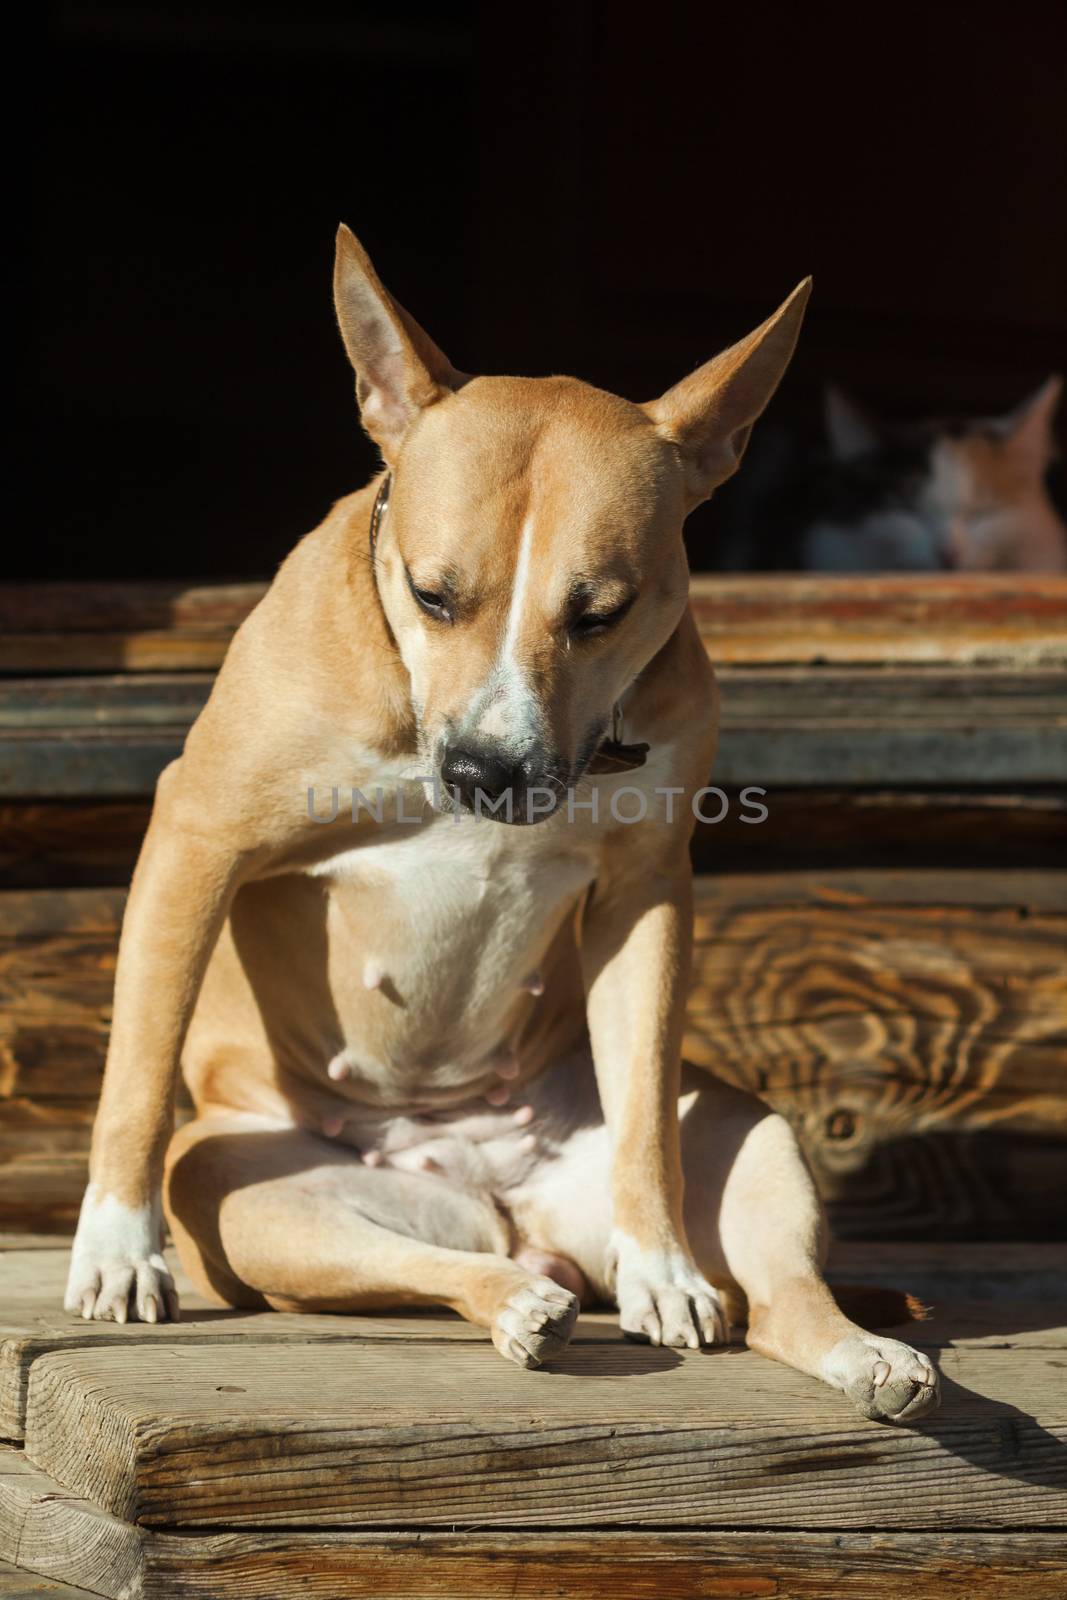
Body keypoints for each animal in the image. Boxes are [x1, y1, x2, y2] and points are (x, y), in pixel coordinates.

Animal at [64, 228, 934, 1427]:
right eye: (432, 596)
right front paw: (115, 1250)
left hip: (746, 1130)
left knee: (770, 1292)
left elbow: (646, 1115)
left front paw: (664, 1265)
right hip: (246, 1187)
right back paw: (519, 1304)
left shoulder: (646, 893)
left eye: (601, 612)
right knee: (442, 1265)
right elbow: (139, 1069)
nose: (484, 768)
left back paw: (852, 1351)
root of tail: (511, 1207)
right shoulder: (198, 836)